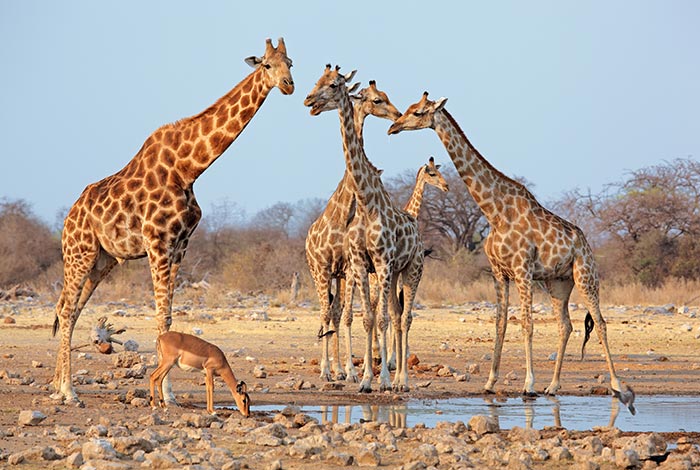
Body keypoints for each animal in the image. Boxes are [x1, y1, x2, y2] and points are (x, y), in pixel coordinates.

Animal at [52, 37, 292, 404]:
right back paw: (68, 391)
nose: (289, 85)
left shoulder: (181, 245)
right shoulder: (158, 243)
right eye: (267, 65)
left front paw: (171, 393)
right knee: (65, 310)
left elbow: (169, 314)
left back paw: (56, 386)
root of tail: (68, 218)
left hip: (101, 260)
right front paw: (166, 393)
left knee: (71, 308)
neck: (189, 168)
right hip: (80, 253)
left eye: (290, 63)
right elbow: (161, 316)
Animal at [304, 64, 424, 392]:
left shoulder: (380, 263)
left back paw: (401, 380)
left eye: (333, 84)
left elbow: (378, 319)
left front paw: (380, 378)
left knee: (404, 317)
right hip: (329, 270)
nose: (309, 101)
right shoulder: (357, 263)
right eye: (317, 82)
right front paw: (365, 378)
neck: (365, 203)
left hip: (410, 269)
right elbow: (365, 319)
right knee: (369, 314)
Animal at [386, 92, 636, 414]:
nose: (393, 127)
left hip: (585, 276)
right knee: (565, 325)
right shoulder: (499, 272)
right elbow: (501, 323)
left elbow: (527, 324)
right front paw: (491, 382)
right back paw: (553, 386)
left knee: (601, 323)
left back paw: (615, 385)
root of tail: (586, 243)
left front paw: (528, 385)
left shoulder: (522, 270)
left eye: (417, 112)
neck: (495, 212)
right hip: (558, 282)